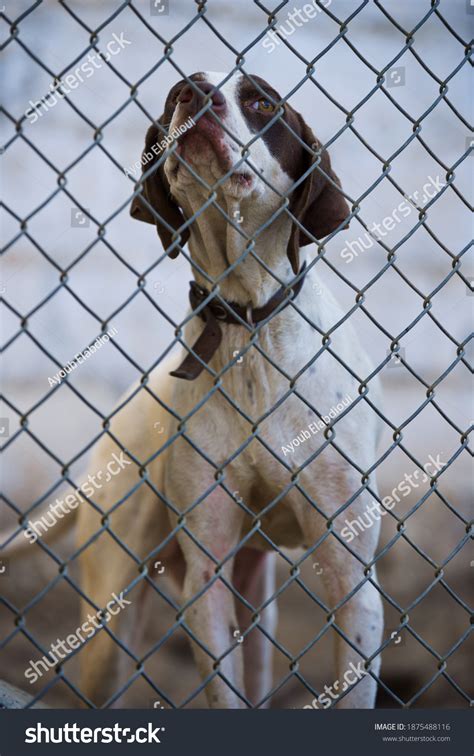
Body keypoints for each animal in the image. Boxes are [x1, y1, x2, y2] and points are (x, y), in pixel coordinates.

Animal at [8, 71, 386, 708]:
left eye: (260, 101)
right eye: (172, 98)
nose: (194, 95)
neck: (247, 326)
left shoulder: (350, 576)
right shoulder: (205, 579)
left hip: (258, 610)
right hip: (113, 619)